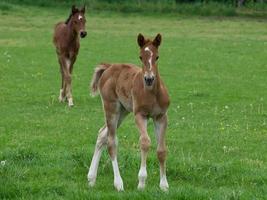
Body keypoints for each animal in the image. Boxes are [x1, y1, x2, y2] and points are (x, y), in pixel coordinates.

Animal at [88, 33, 172, 191]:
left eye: (157, 56)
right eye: (140, 57)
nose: (149, 78)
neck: (152, 93)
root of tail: (108, 67)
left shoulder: (161, 117)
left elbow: (161, 150)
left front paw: (164, 185)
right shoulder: (140, 115)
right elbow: (145, 142)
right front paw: (142, 182)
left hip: (123, 111)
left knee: (102, 134)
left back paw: (91, 178)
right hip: (111, 108)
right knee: (111, 142)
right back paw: (118, 183)